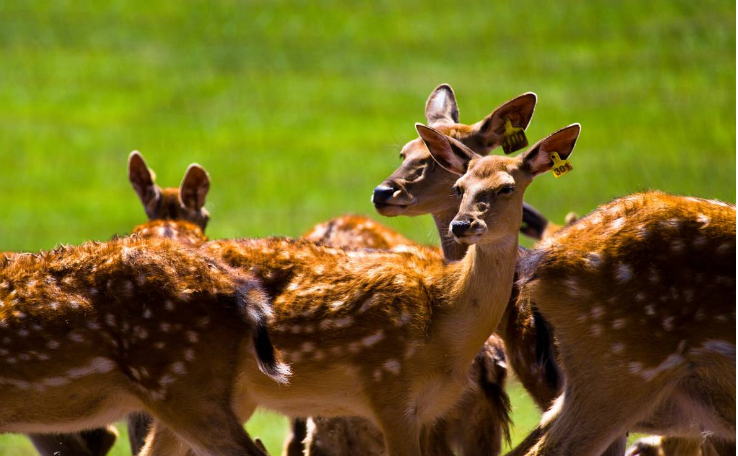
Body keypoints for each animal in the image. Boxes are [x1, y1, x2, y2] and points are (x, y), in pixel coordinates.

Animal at [141, 120, 580, 456]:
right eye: (460, 187)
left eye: (507, 187)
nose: (463, 224)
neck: (446, 320)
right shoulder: (389, 390)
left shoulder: (431, 411)